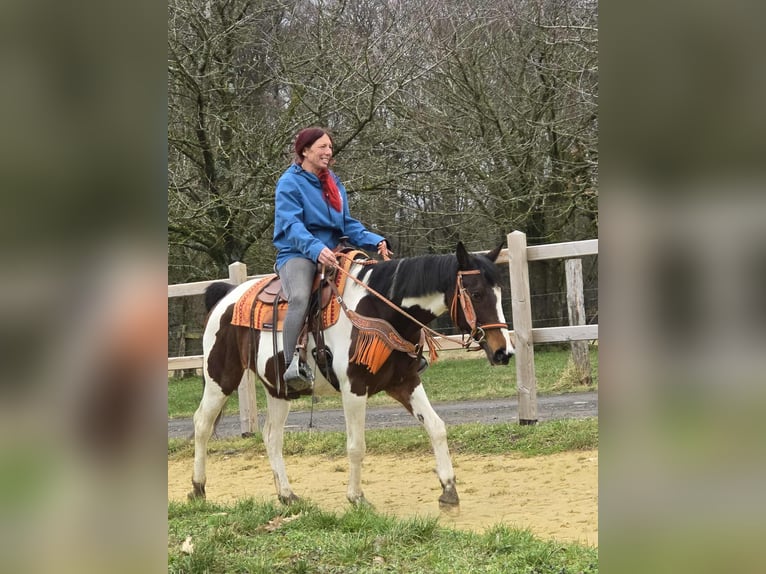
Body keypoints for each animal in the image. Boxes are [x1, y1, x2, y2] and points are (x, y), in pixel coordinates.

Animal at [189, 241, 514, 508]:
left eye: (500, 293)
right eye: (476, 293)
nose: (504, 352)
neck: (381, 310)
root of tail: (226, 295)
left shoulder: (405, 383)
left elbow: (436, 427)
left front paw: (448, 490)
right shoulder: (354, 389)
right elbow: (356, 446)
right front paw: (356, 497)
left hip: (279, 389)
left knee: (272, 436)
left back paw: (287, 494)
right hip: (221, 377)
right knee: (202, 423)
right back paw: (198, 488)